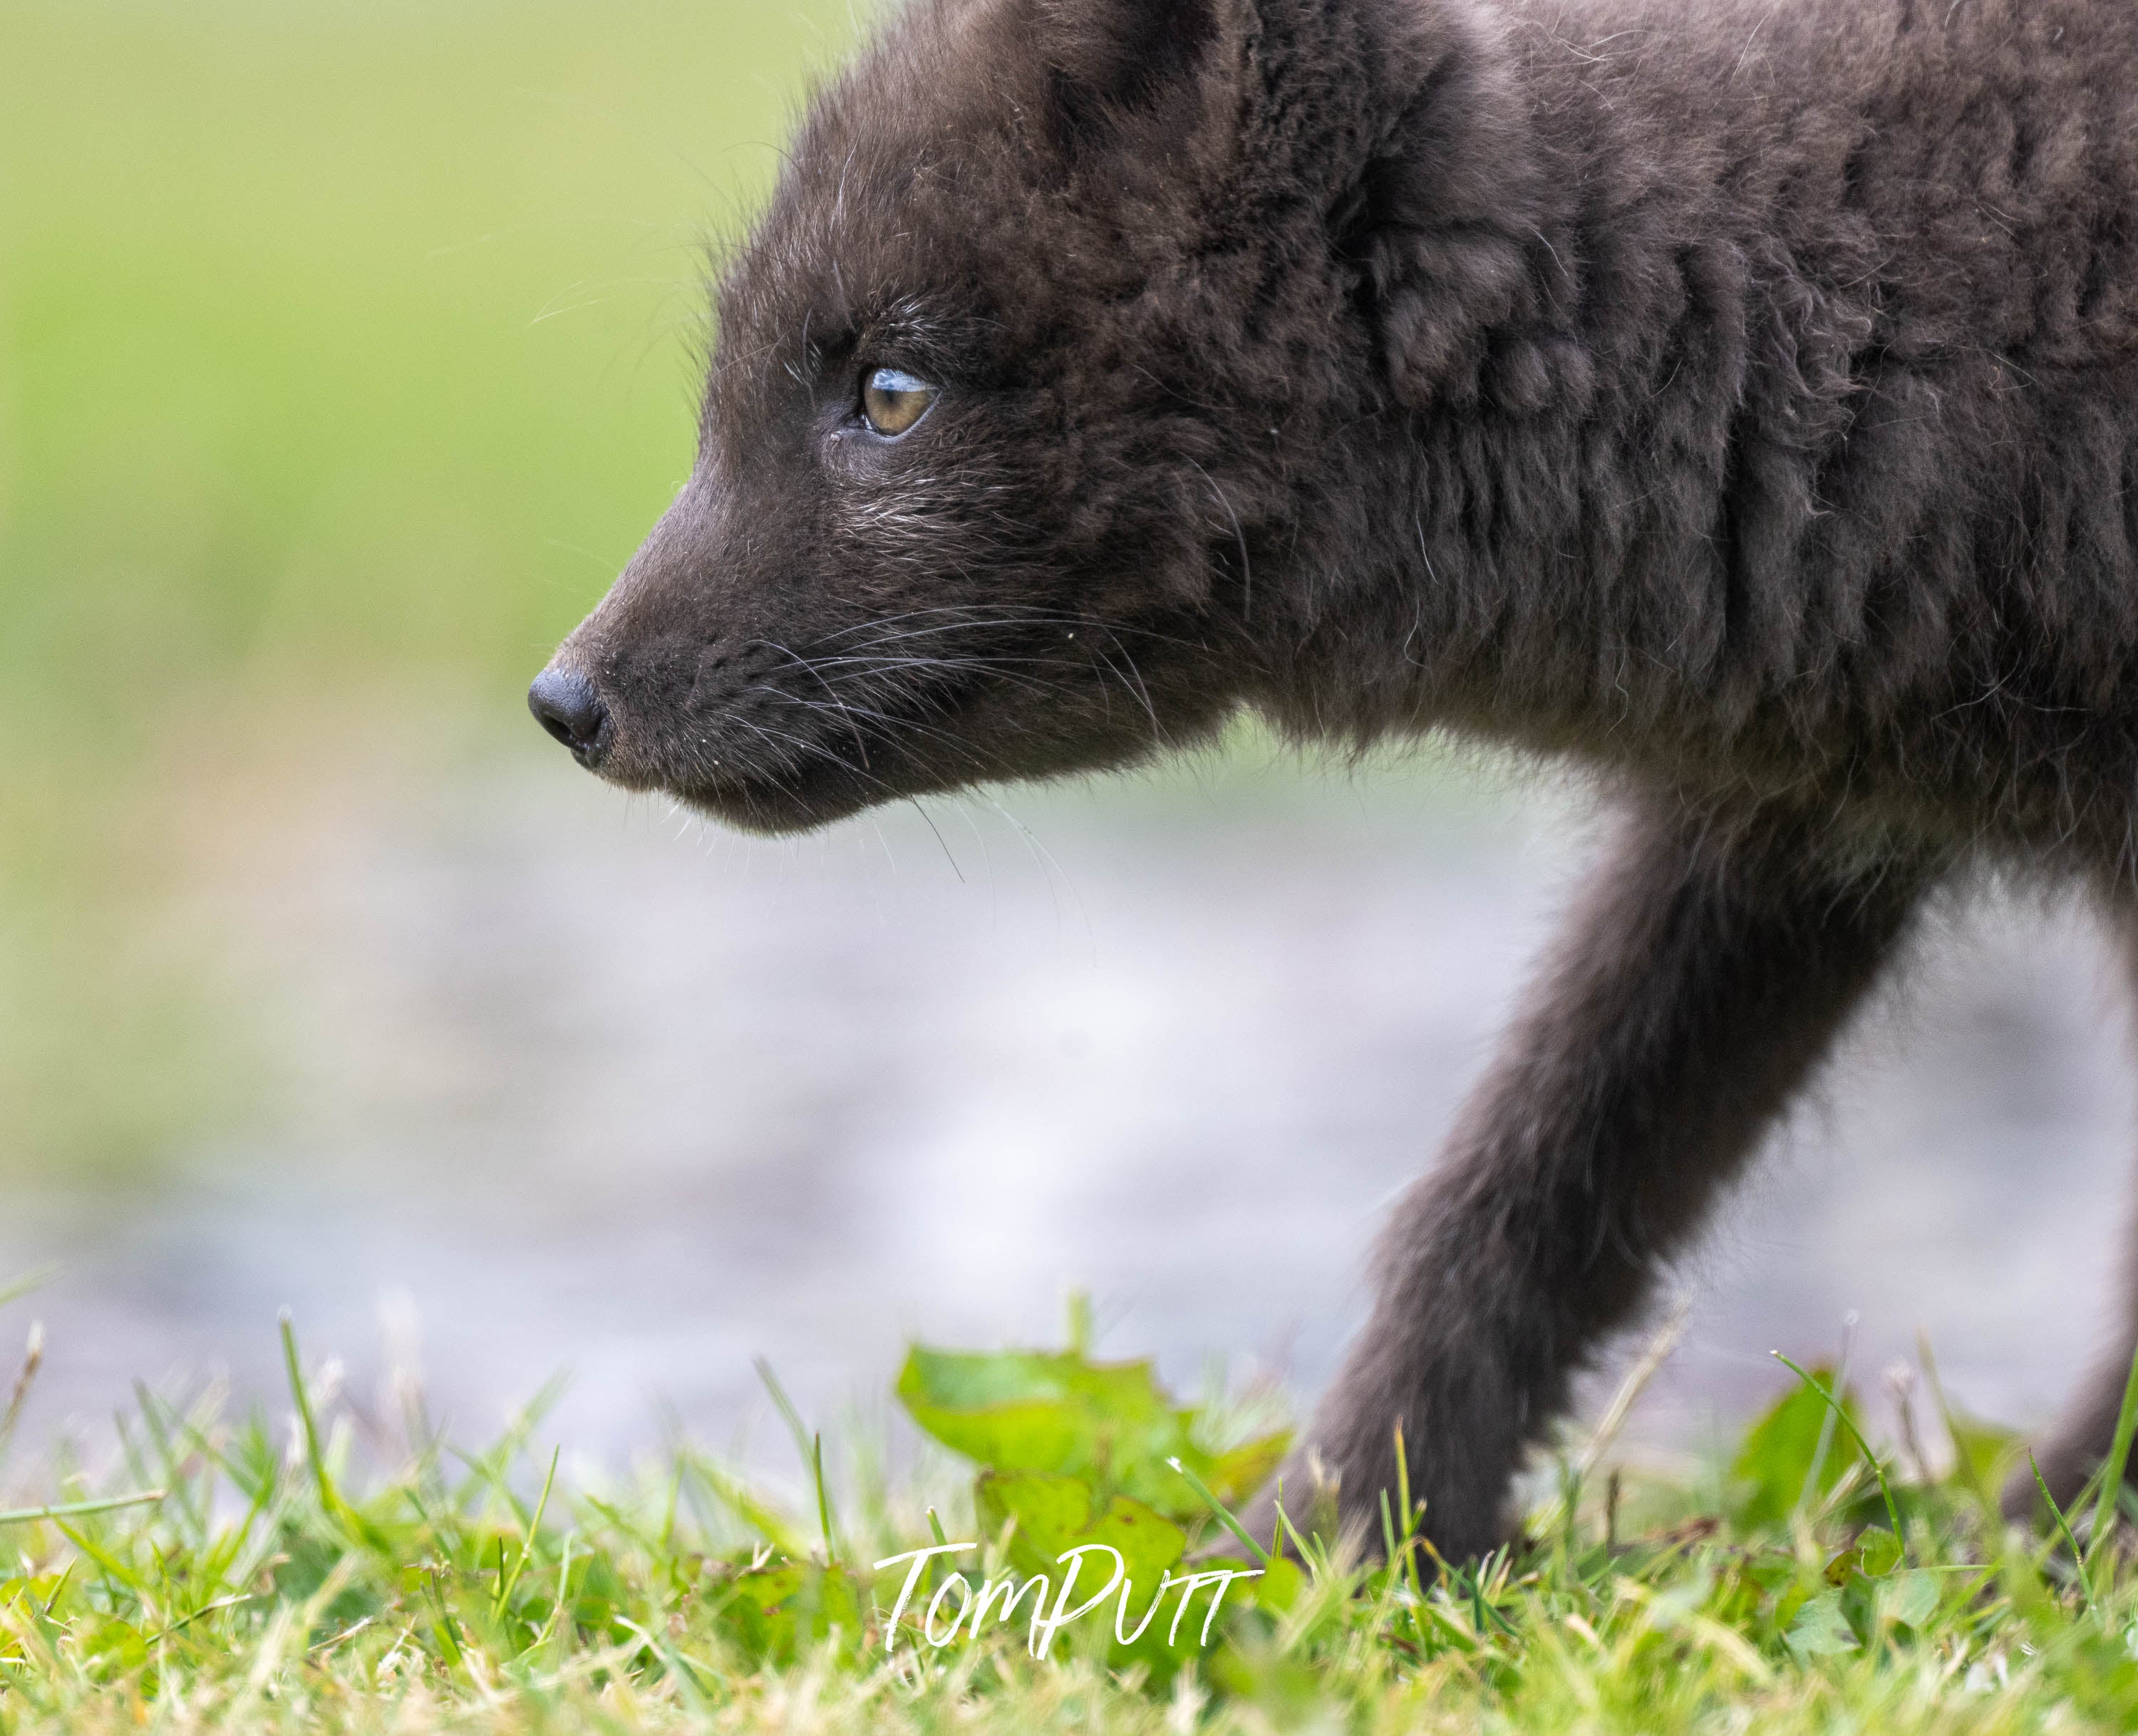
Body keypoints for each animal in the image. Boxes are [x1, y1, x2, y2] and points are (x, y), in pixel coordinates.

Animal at [529, 0, 2138, 1557]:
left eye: (890, 390)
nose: (567, 698)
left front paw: (2064, 1543)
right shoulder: (1769, 811)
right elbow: (1532, 1177)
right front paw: (1322, 1544)